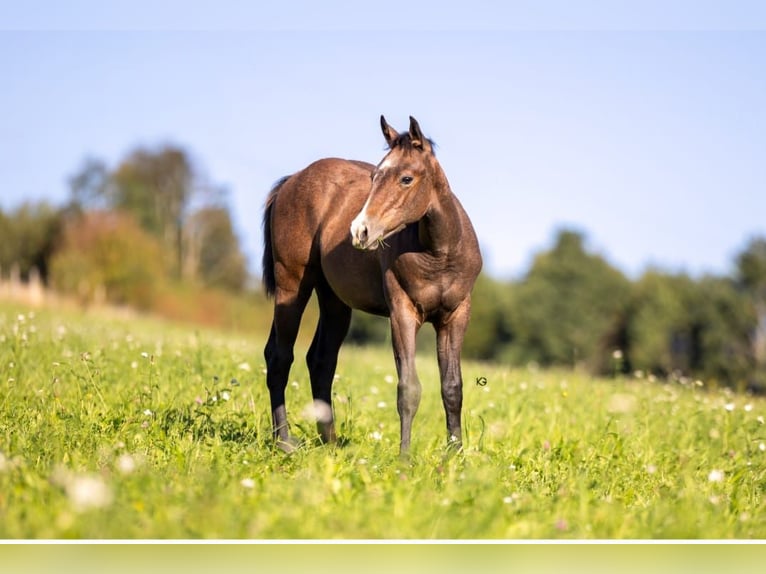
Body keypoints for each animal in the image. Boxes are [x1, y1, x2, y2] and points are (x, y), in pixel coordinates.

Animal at [262, 115, 482, 455]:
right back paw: (285, 442)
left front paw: (456, 456)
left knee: (321, 361)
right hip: (291, 285)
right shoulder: (402, 313)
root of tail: (292, 180)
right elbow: (409, 388)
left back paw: (330, 443)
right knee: (279, 356)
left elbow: (452, 387)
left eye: (406, 178)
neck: (439, 254)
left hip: (334, 301)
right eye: (374, 175)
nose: (360, 230)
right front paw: (405, 458)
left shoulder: (455, 316)